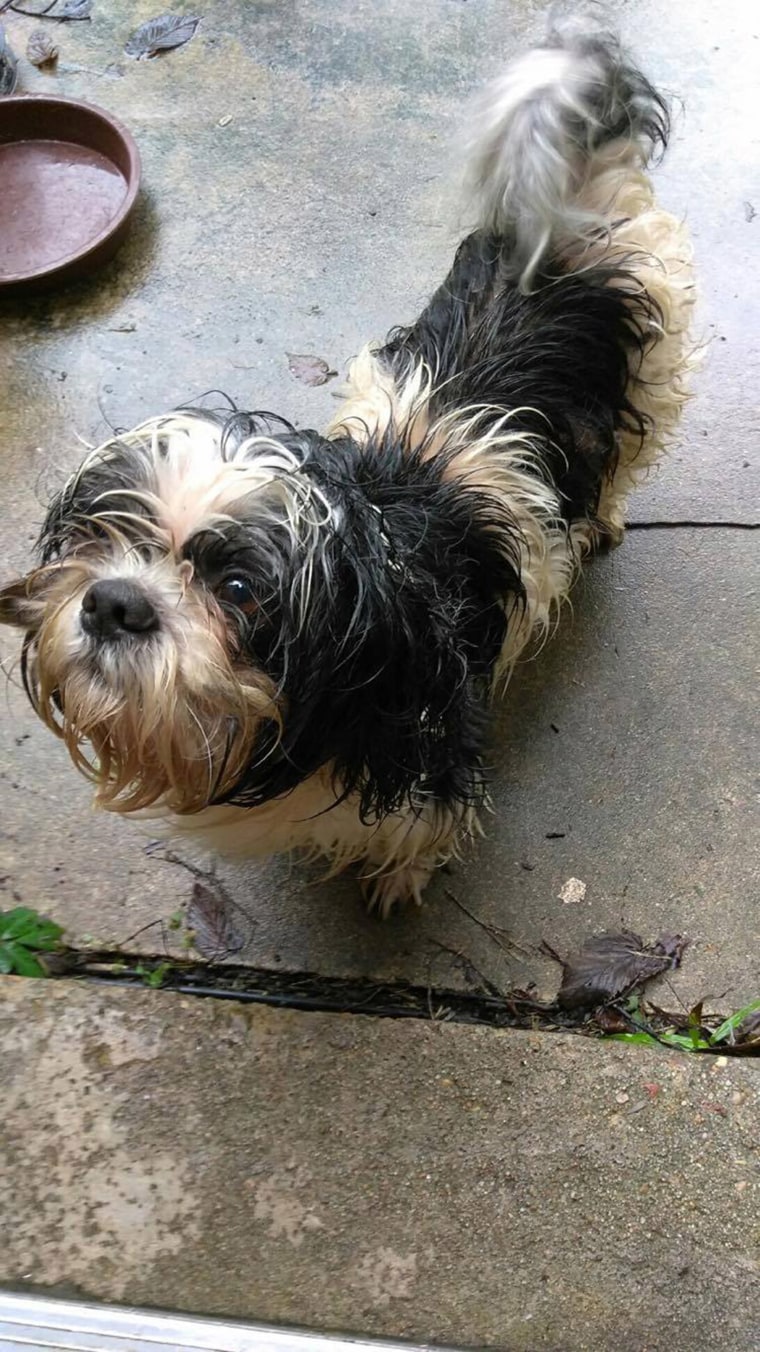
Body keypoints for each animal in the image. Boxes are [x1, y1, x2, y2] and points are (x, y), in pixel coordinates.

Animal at [0, 21, 692, 913]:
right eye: (108, 538)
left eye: (239, 590)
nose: (114, 602)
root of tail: (562, 224)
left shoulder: (432, 752)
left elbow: (413, 836)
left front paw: (398, 879)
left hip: (652, 380)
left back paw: (600, 519)